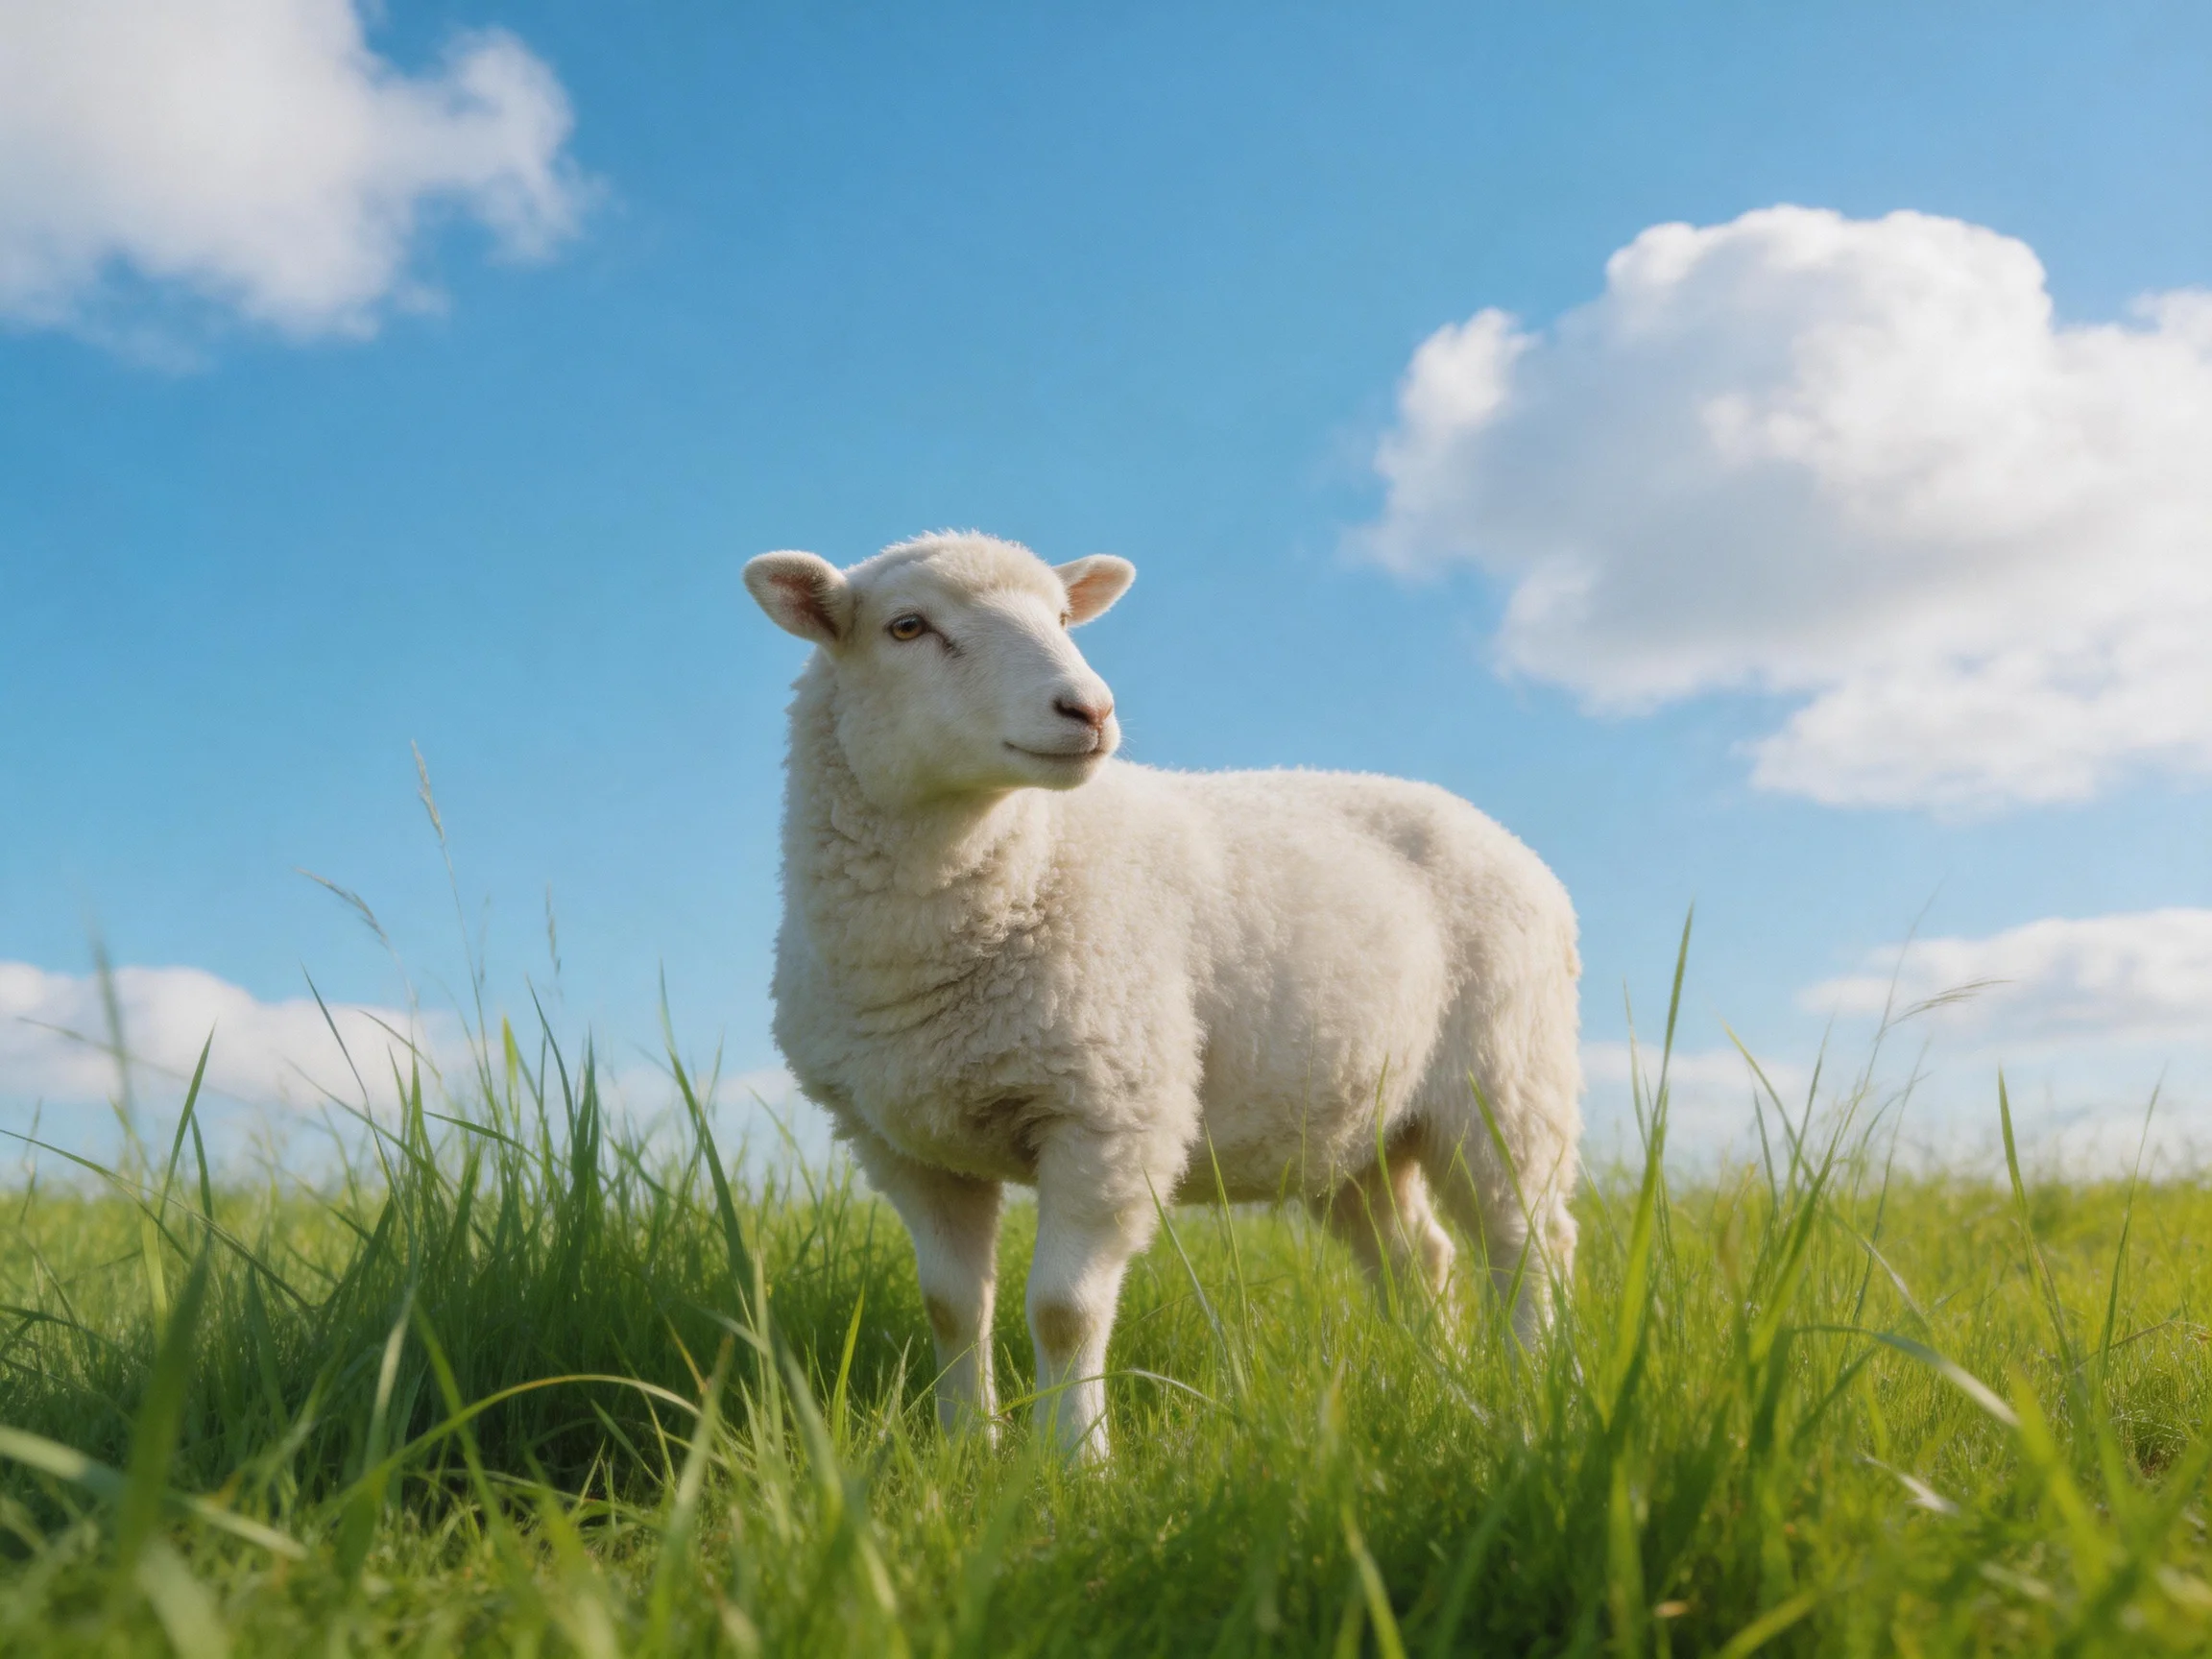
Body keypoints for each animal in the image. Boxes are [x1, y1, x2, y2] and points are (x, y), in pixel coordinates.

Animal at [744, 531, 1582, 1460]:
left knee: (1529, 1240)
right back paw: (1436, 1387)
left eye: (1064, 617)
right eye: (907, 626)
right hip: (1359, 1127)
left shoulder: (1108, 1112)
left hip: (1507, 1081)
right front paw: (967, 1448)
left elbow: (1064, 1311)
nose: (1090, 709)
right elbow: (952, 1308)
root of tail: (1505, 839)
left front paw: (1076, 1463)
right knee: (1418, 1257)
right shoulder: (906, 1145)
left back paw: (1536, 1386)